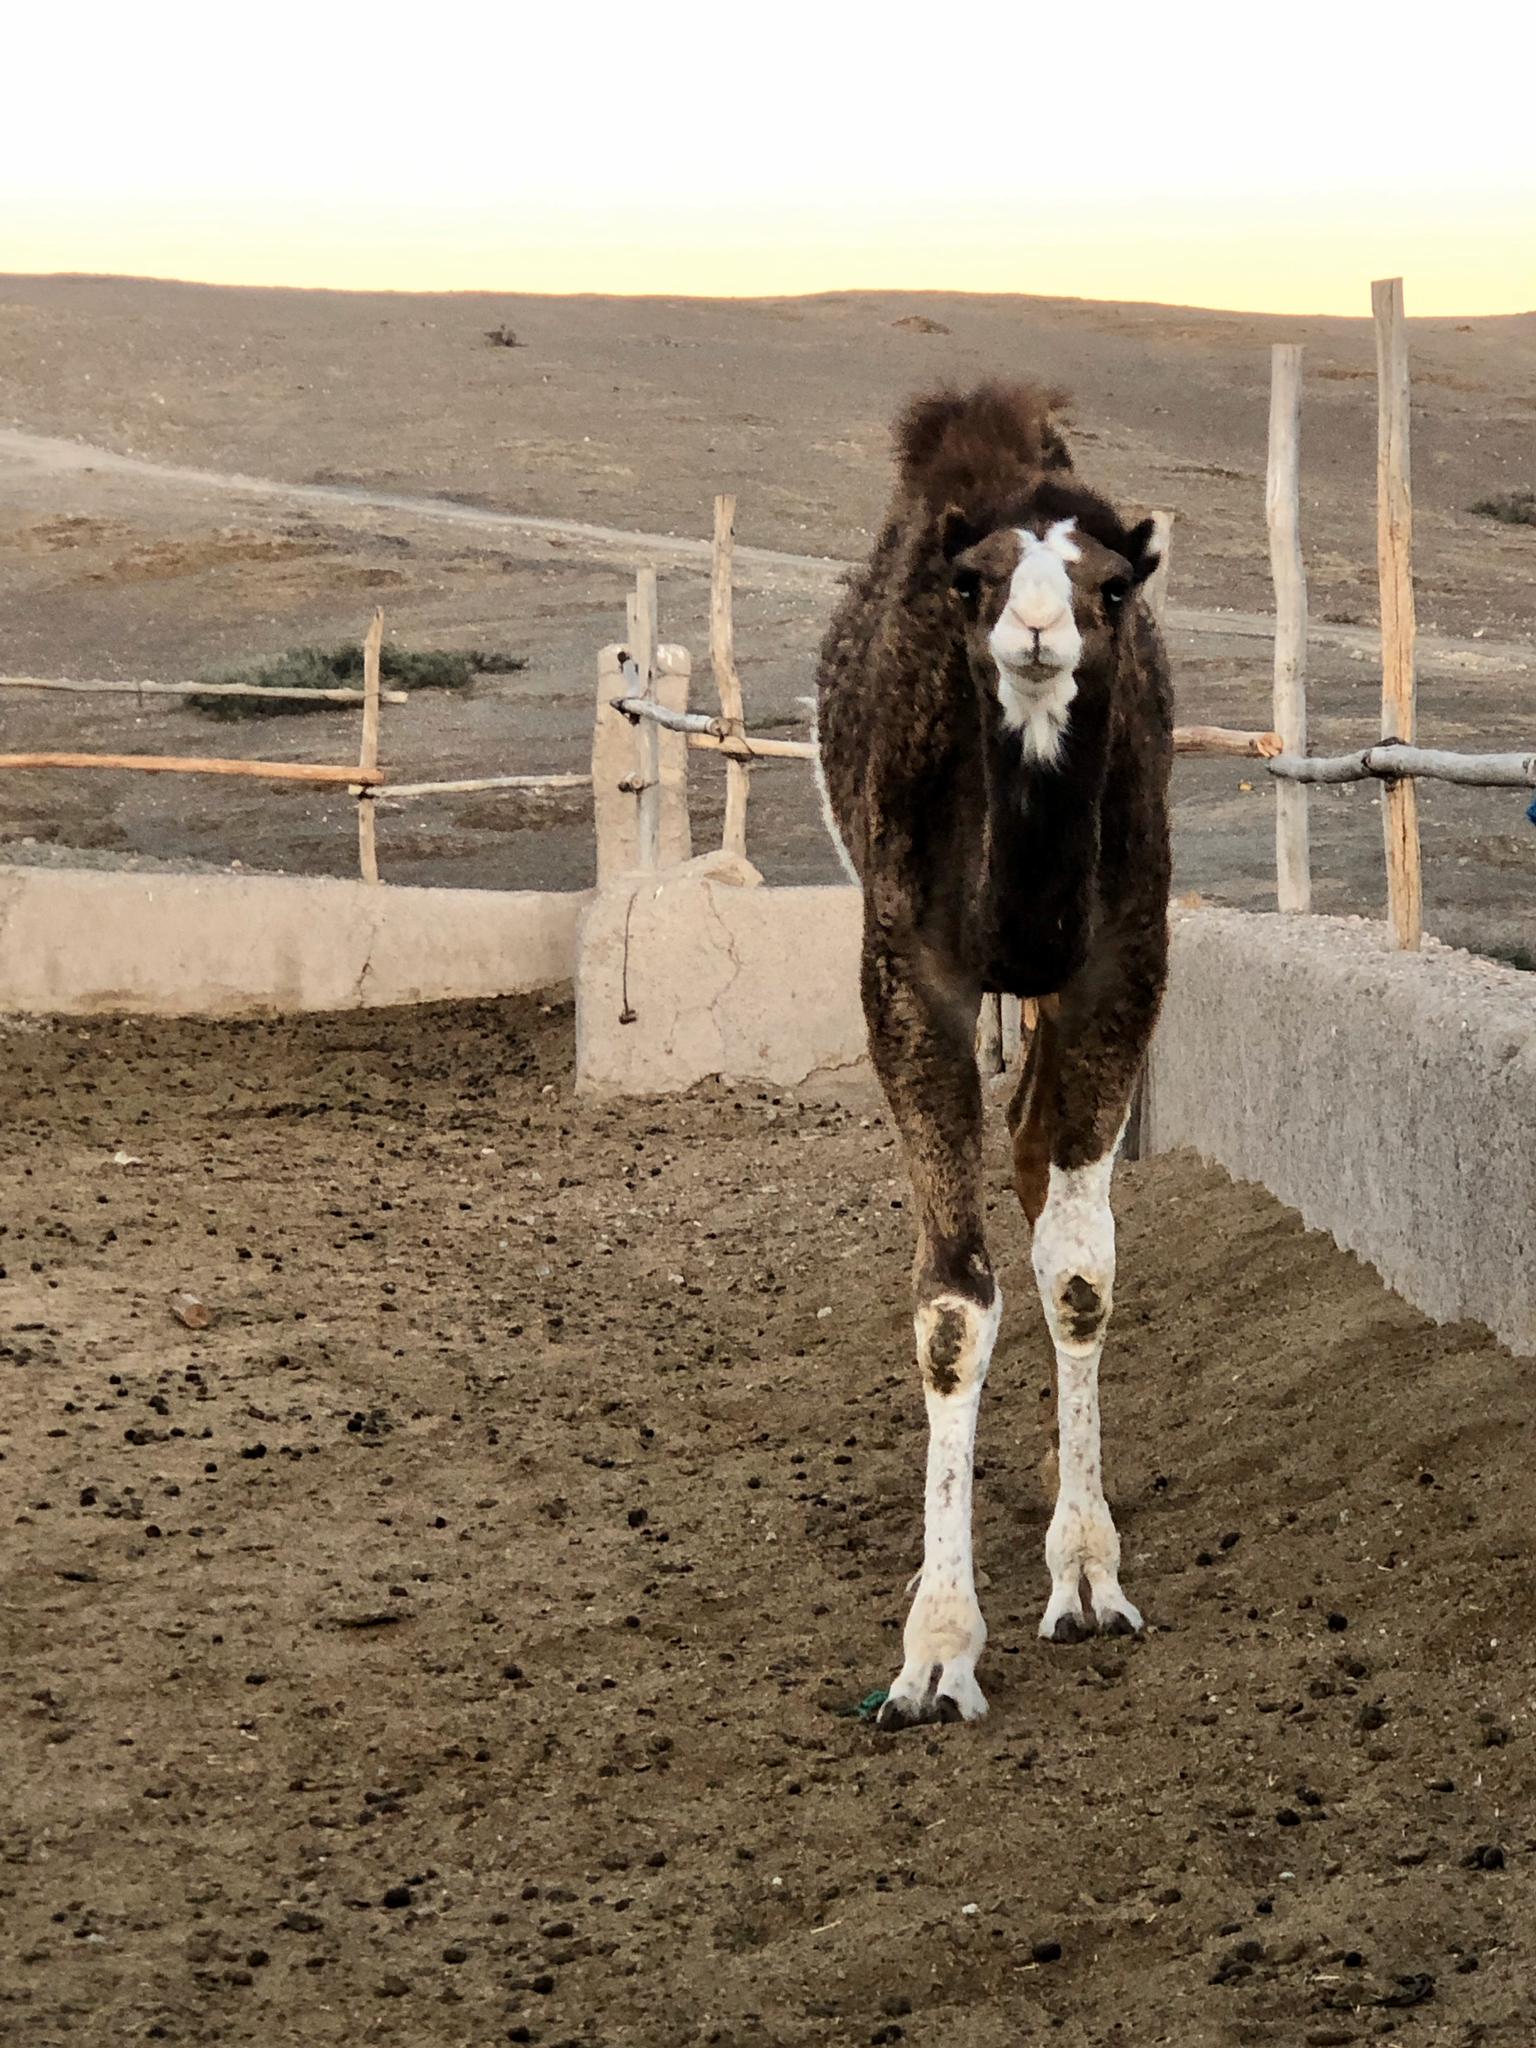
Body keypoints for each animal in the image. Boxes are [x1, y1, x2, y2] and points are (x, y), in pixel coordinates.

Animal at [823, 380, 1171, 1728]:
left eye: (1111, 586)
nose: (1035, 632)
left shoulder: (1122, 960)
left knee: (1039, 1175)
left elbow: (1077, 1268)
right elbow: (951, 1303)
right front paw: (933, 1650)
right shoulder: (908, 975)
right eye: (969, 582)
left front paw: (1087, 1575)